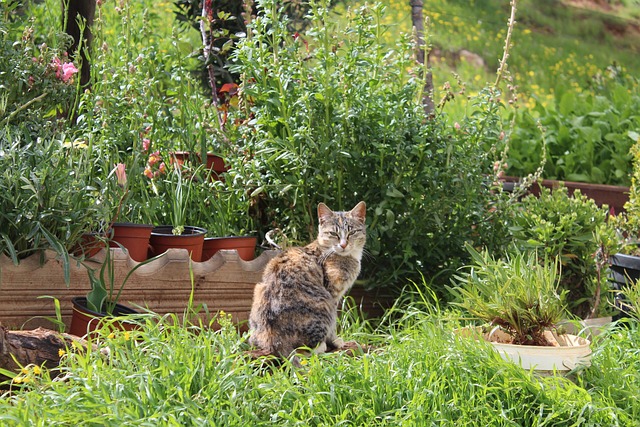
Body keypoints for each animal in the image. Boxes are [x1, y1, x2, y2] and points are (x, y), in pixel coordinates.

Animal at [249, 201, 368, 362]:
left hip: (258, 291)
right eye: (333, 234)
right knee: (301, 351)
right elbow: (333, 324)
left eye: (352, 232)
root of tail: (274, 339)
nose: (343, 245)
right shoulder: (332, 293)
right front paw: (334, 340)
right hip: (324, 303)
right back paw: (320, 346)